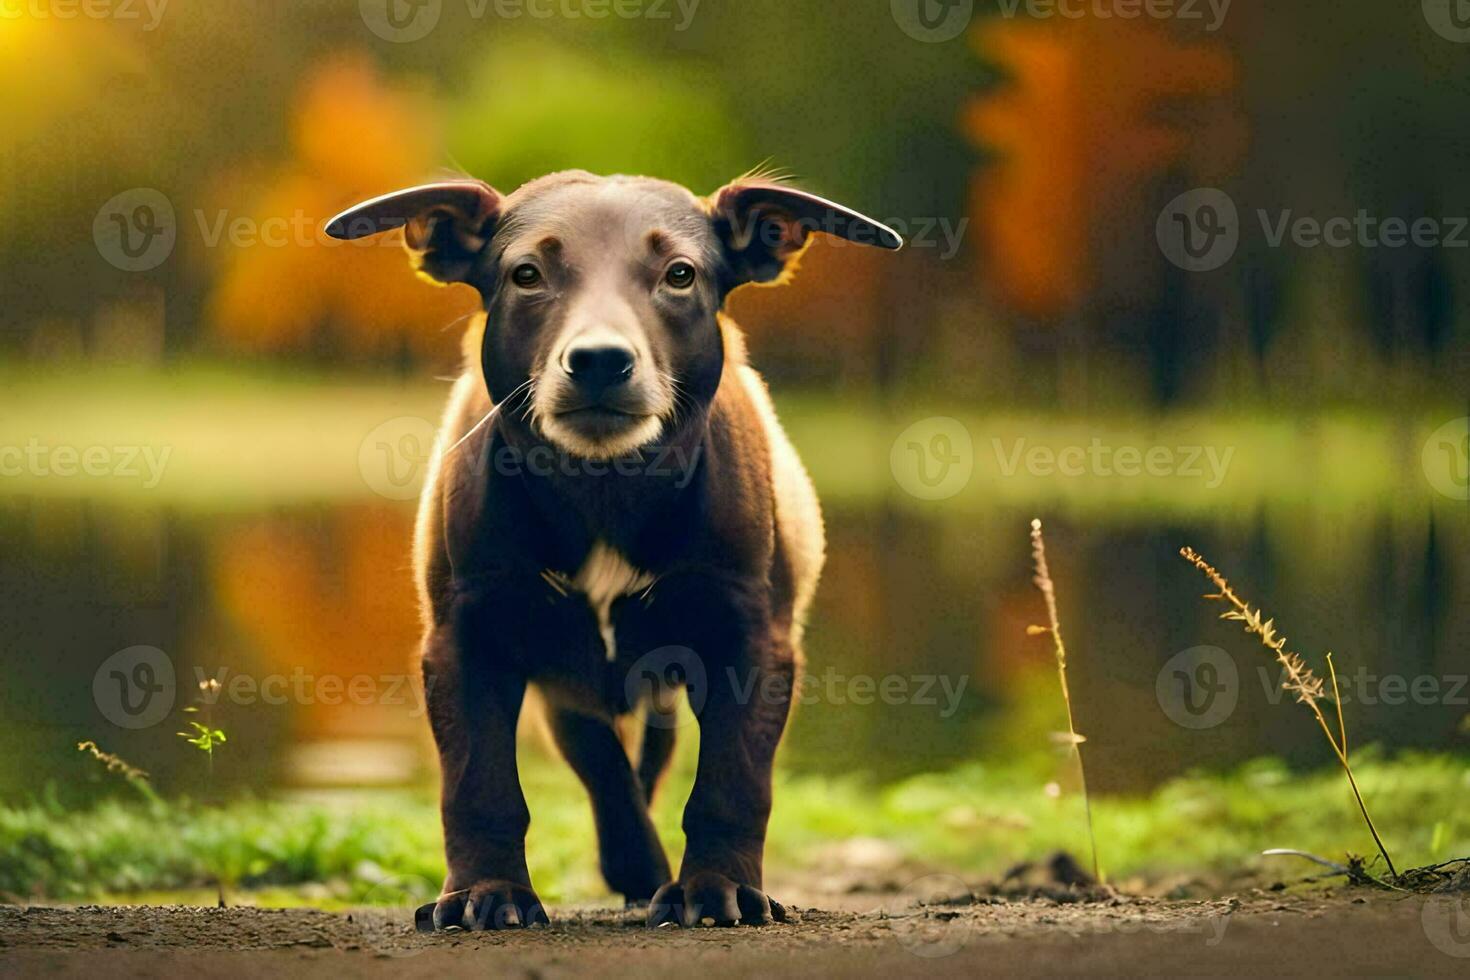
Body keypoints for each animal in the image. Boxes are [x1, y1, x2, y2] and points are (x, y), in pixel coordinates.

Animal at [327, 172, 899, 934]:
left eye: (680, 274)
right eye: (527, 274)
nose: (599, 358)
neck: (602, 487)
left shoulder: (752, 638)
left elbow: (732, 778)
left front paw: (718, 888)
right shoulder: (466, 637)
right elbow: (480, 783)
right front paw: (488, 892)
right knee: (600, 760)